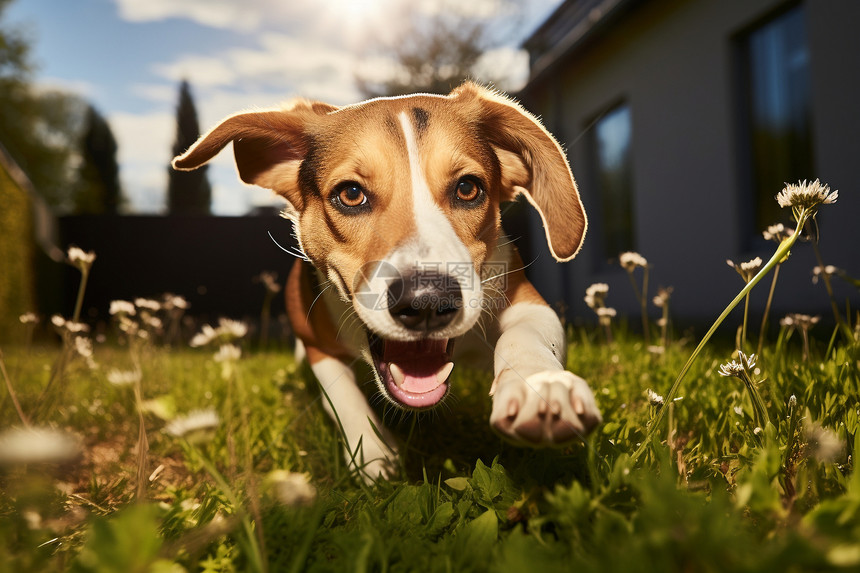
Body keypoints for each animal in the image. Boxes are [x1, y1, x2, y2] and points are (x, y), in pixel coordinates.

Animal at [174, 82, 600, 480]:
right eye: (350, 194)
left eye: (468, 188)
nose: (427, 299)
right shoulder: (318, 344)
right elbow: (340, 393)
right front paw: (373, 455)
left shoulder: (525, 300)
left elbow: (525, 337)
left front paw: (541, 388)